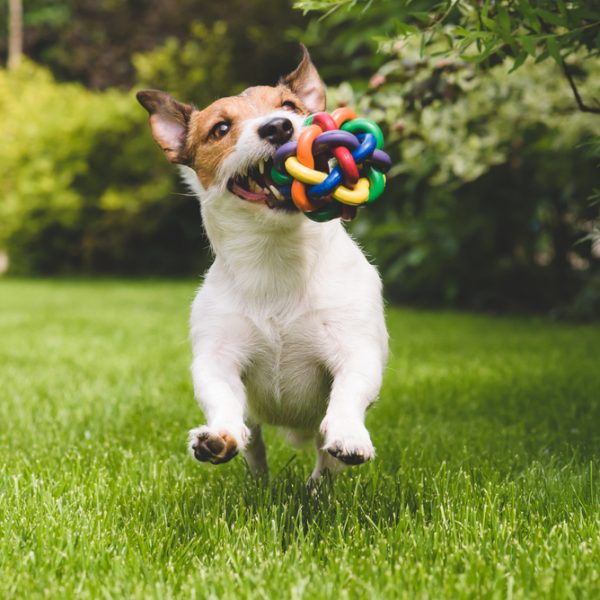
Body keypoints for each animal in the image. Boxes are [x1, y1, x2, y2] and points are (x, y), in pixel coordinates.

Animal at [137, 44, 390, 480]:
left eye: (289, 106)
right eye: (220, 129)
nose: (278, 128)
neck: (275, 256)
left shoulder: (355, 348)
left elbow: (349, 391)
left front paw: (349, 434)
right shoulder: (218, 358)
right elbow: (221, 396)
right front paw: (218, 436)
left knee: (323, 457)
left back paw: (318, 486)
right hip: (254, 423)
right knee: (254, 442)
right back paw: (256, 479)